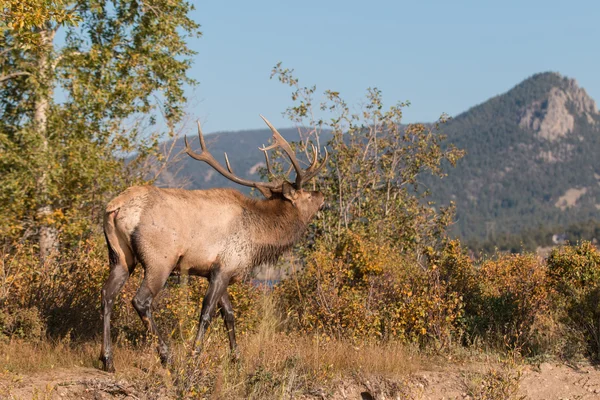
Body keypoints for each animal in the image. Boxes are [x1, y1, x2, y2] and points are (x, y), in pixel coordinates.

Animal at [101, 115, 330, 372]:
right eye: (308, 195)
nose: (323, 196)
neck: (260, 238)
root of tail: (116, 206)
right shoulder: (225, 265)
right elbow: (207, 312)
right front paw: (194, 357)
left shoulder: (217, 270)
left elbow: (229, 313)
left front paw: (237, 358)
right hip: (159, 260)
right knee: (141, 301)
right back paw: (167, 357)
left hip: (120, 257)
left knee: (107, 294)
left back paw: (108, 359)